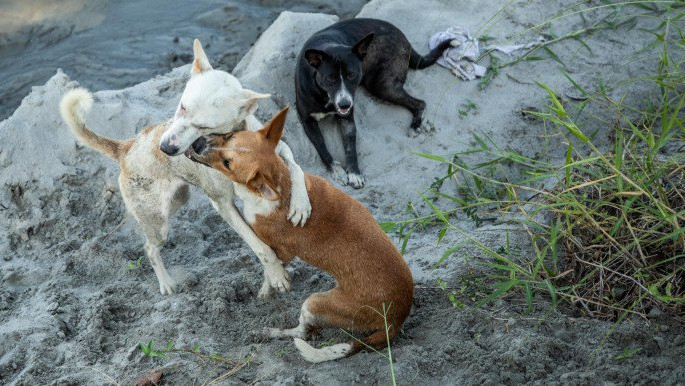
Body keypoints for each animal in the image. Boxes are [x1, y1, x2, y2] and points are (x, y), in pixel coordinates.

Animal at [58, 39, 310, 298]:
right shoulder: (223, 204)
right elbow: (258, 245)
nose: (166, 148)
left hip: (178, 200)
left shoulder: (280, 150)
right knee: (149, 248)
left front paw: (301, 205)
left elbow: (296, 167)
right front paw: (277, 275)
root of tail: (126, 147)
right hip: (157, 222)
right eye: (182, 107)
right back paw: (166, 283)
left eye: (204, 126)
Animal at [184, 107, 414, 364]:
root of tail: (394, 322)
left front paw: (271, 285)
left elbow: (268, 262)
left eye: (227, 164)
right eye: (230, 135)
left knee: (305, 333)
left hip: (315, 303)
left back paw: (271, 332)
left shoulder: (280, 249)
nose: (196, 144)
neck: (277, 184)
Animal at [292, 18, 448, 188]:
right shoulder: (308, 121)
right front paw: (337, 170)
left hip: (381, 85)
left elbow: (350, 146)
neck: (325, 95)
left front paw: (354, 173)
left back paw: (415, 126)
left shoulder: (347, 119)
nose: (345, 105)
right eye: (330, 78)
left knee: (420, 103)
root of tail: (404, 37)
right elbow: (321, 147)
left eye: (352, 75)